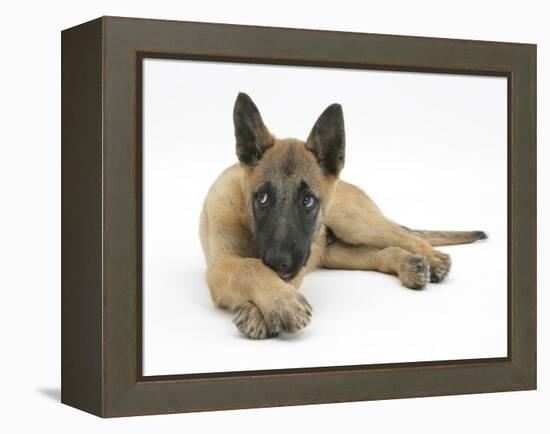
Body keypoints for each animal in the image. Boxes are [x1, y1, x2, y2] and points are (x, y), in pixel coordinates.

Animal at [199, 92, 488, 340]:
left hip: (356, 224)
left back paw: (434, 258)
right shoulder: (219, 266)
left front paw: (268, 307)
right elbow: (250, 266)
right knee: (380, 253)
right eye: (262, 198)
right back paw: (408, 264)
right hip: (336, 253)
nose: (278, 261)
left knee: (406, 236)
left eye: (307, 200)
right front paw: (276, 301)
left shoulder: (296, 264)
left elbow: (254, 267)